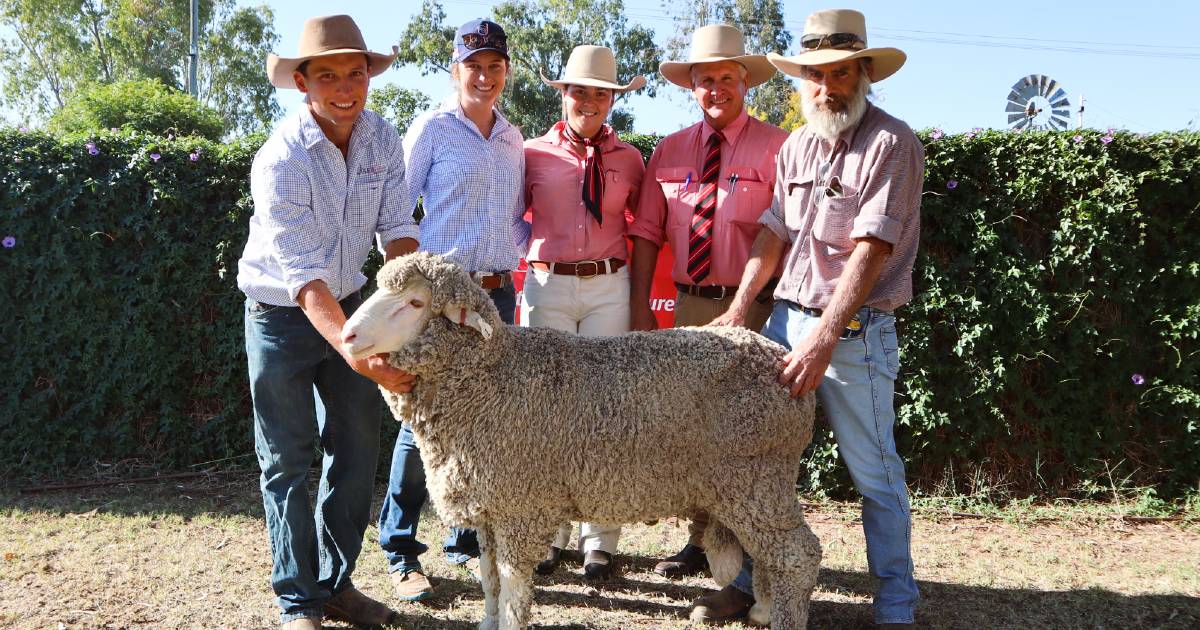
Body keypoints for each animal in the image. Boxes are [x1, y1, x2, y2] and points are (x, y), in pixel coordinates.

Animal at [343, 252, 820, 628]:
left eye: (415, 302)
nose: (347, 336)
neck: (491, 377)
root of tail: (781, 360)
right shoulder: (493, 507)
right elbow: (490, 580)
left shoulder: (521, 505)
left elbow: (512, 587)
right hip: (747, 486)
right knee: (772, 557)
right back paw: (762, 609)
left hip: (756, 477)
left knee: (799, 555)